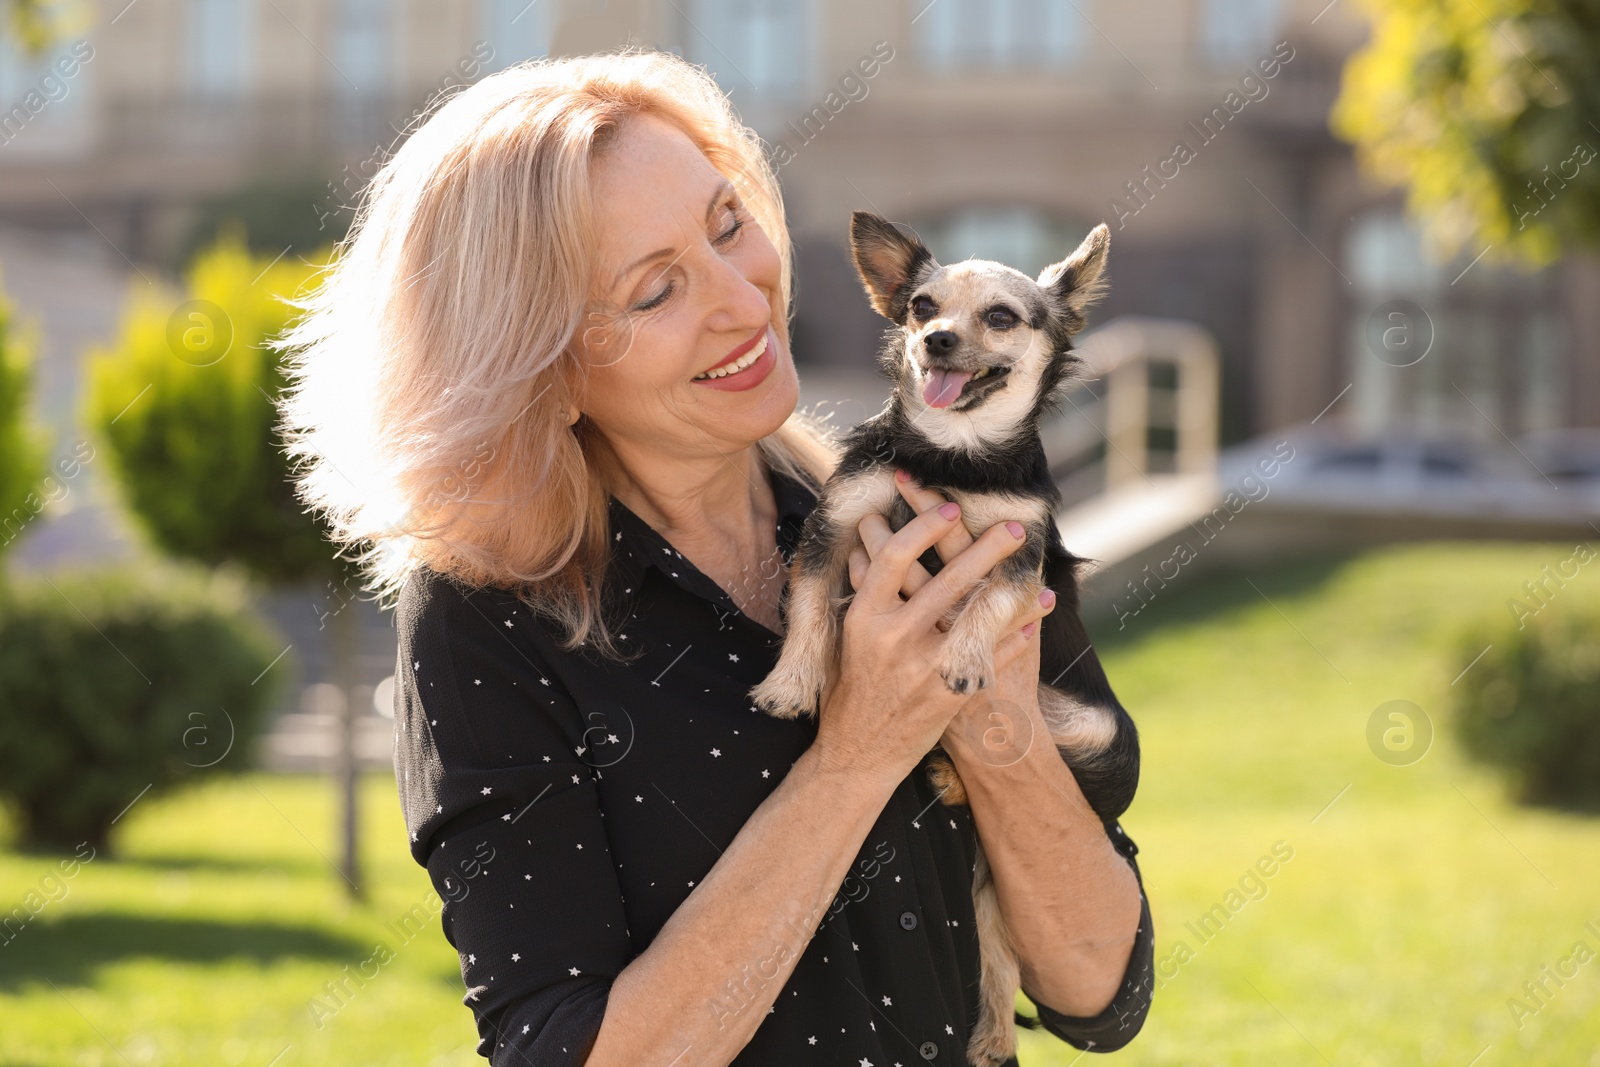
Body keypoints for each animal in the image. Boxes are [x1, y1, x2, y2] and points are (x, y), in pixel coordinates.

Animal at [748, 211, 1139, 1067]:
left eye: (1000, 317)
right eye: (921, 306)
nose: (936, 340)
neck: (952, 455)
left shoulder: (1018, 551)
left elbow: (984, 603)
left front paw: (959, 659)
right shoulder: (837, 522)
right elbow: (811, 605)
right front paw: (793, 680)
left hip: (1089, 735)